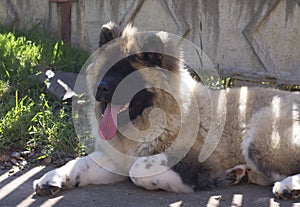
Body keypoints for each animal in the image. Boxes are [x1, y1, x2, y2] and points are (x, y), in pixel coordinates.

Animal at [33, 21, 300, 200]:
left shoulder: (186, 157)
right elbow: (81, 163)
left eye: (129, 73)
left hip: (261, 141)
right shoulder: (117, 158)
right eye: (107, 68)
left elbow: (138, 170)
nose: (101, 88)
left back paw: (288, 186)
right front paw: (53, 177)